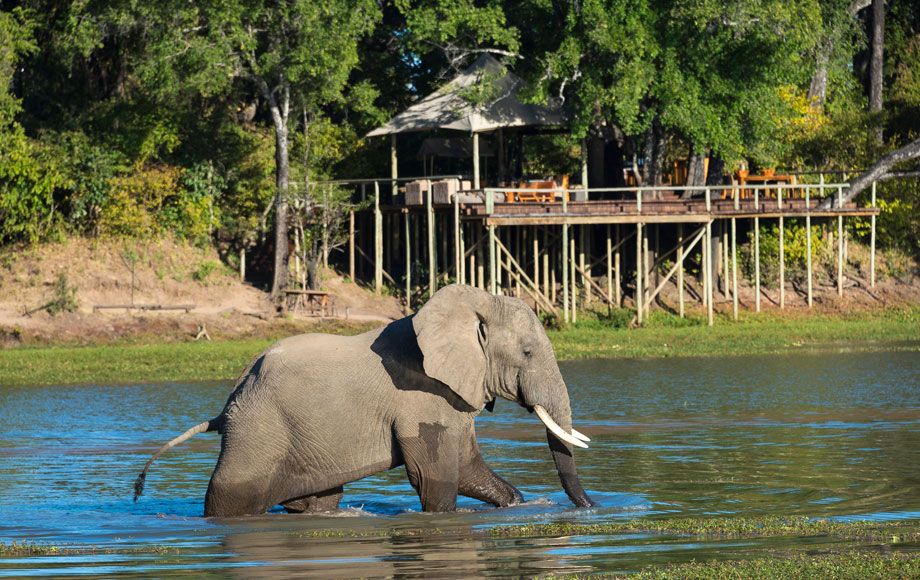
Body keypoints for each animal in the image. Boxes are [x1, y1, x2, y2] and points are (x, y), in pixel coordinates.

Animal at [133, 284, 592, 516]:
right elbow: (435, 478)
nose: (589, 508)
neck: (470, 306)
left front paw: (518, 505)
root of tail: (227, 404)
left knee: (319, 501)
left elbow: (467, 468)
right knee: (230, 498)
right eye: (528, 353)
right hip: (256, 432)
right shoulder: (420, 399)